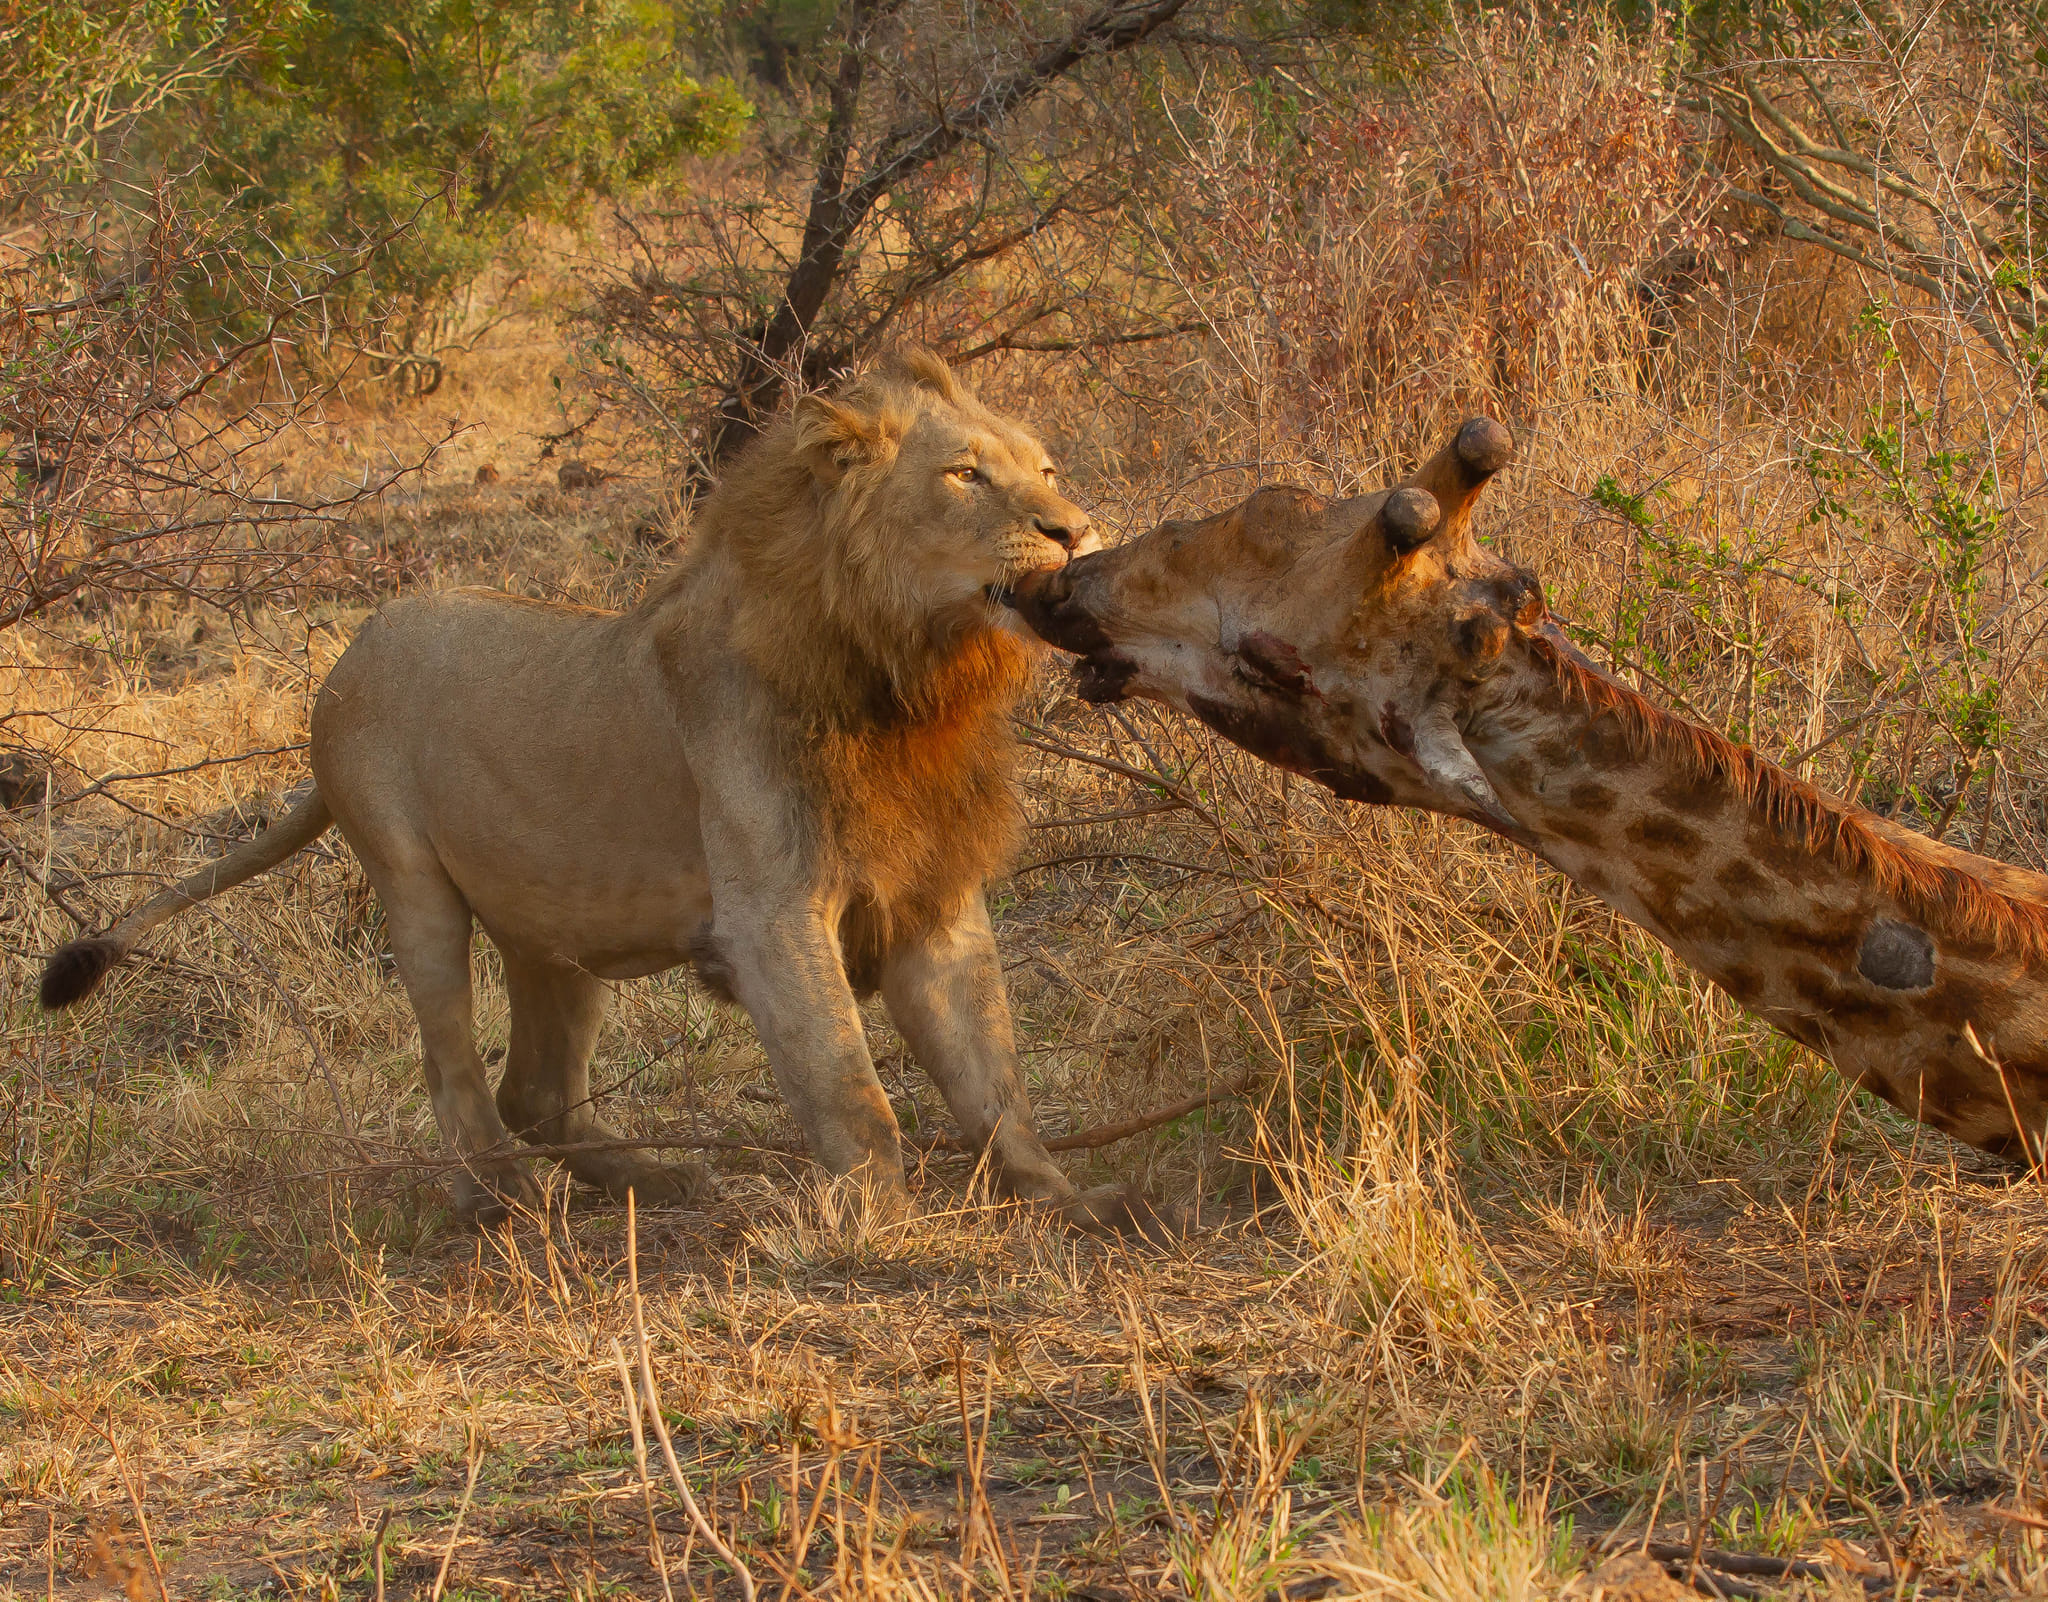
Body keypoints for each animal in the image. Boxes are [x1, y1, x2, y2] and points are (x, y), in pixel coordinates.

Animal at [40, 349, 1142, 1229]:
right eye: (964, 474)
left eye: (1045, 470)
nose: (1077, 529)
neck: (908, 679)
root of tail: (350, 653)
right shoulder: (773, 912)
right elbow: (849, 1088)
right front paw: (887, 1224)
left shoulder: (934, 897)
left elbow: (992, 1077)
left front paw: (1071, 1203)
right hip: (412, 885)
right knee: (452, 1069)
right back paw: (503, 1200)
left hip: (553, 928)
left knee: (536, 1090)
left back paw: (654, 1180)